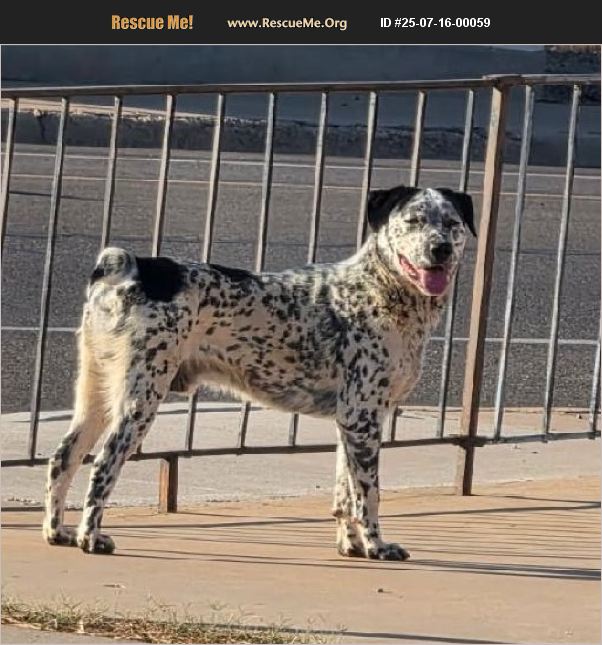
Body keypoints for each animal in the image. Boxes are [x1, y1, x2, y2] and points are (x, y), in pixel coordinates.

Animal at [42, 184, 475, 559]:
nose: (440, 248)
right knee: (102, 464)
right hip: (140, 397)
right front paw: (376, 546)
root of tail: (131, 269)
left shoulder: (352, 422)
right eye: (414, 220)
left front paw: (350, 545)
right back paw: (90, 537)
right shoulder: (363, 416)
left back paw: (57, 531)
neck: (379, 289)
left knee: (64, 456)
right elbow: (368, 496)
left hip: (96, 394)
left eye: (451, 223)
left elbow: (343, 494)